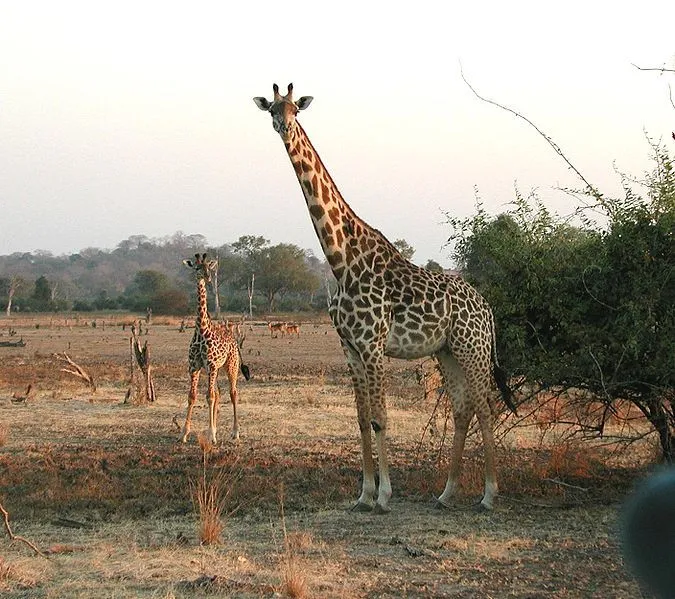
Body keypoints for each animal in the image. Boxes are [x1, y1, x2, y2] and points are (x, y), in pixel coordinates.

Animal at [182, 253, 251, 446]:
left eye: (209, 267)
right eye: (197, 267)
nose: (207, 278)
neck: (201, 329)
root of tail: (234, 341)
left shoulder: (211, 365)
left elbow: (209, 396)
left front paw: (212, 436)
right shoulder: (195, 366)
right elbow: (192, 396)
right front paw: (184, 433)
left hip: (231, 366)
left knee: (233, 393)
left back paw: (235, 432)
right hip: (217, 369)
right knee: (219, 393)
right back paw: (214, 430)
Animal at [254, 83, 516, 516]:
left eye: (296, 110)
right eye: (272, 109)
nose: (284, 127)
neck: (341, 260)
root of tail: (488, 308)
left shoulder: (374, 345)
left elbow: (381, 418)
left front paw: (384, 496)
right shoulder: (350, 347)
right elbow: (361, 420)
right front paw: (362, 494)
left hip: (473, 348)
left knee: (485, 407)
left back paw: (490, 495)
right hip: (446, 352)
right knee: (463, 410)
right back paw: (446, 493)